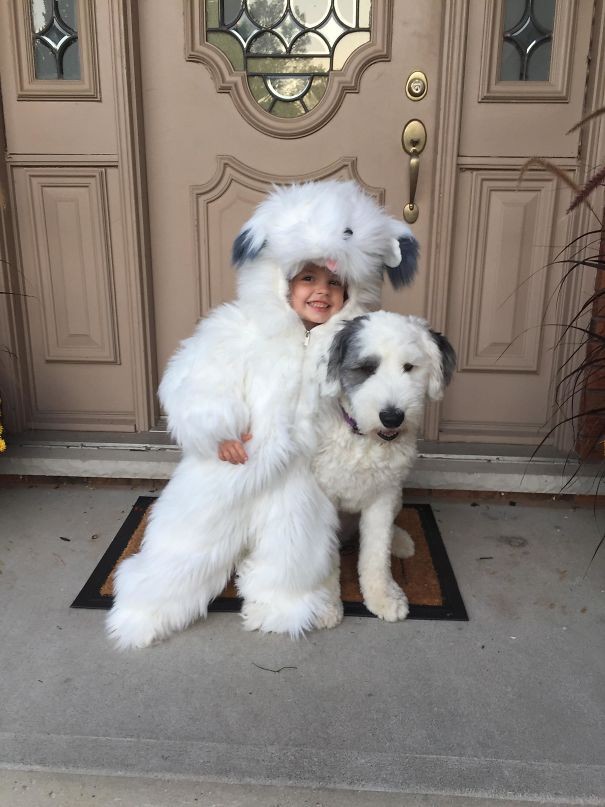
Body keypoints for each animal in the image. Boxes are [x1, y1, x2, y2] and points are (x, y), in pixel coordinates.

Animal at [314, 312, 456, 620]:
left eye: (409, 367)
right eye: (367, 368)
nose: (392, 417)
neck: (363, 439)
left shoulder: (382, 495)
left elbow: (377, 553)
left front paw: (383, 597)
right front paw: (322, 602)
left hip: (397, 493)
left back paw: (400, 541)